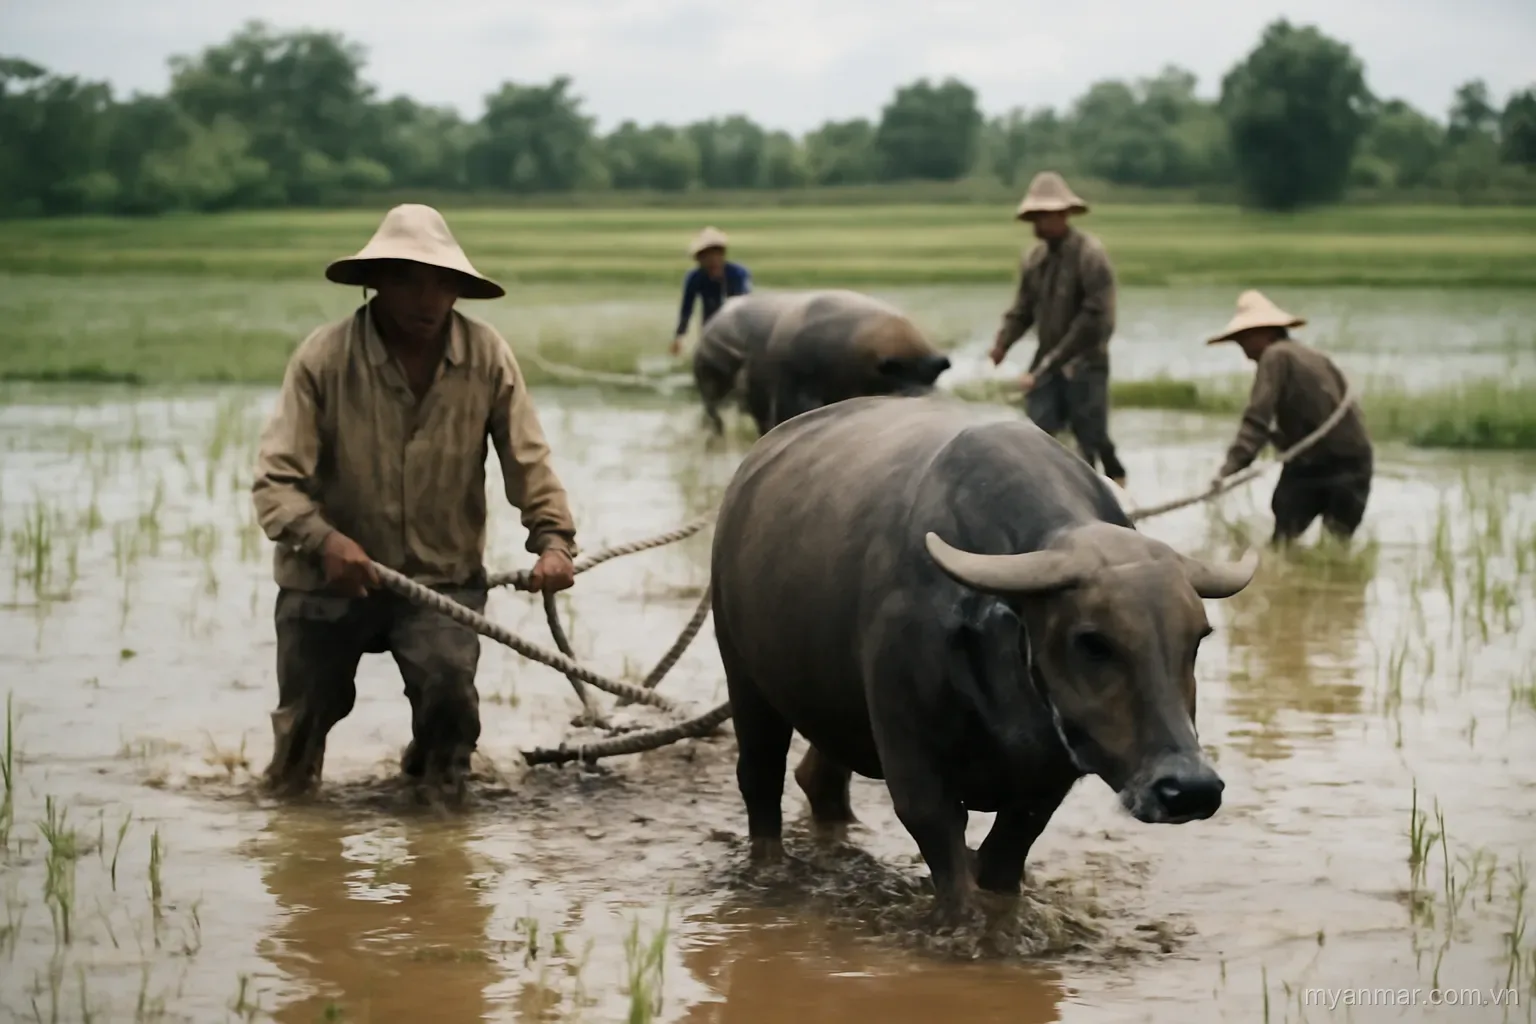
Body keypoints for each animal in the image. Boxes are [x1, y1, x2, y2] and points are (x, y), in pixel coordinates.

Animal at [709, 394, 1258, 922]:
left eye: (1198, 637)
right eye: (1093, 641)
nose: (1190, 789)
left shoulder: (1047, 777)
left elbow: (1005, 856)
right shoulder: (911, 755)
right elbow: (942, 845)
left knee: (820, 779)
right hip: (744, 677)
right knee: (759, 777)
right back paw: (767, 867)